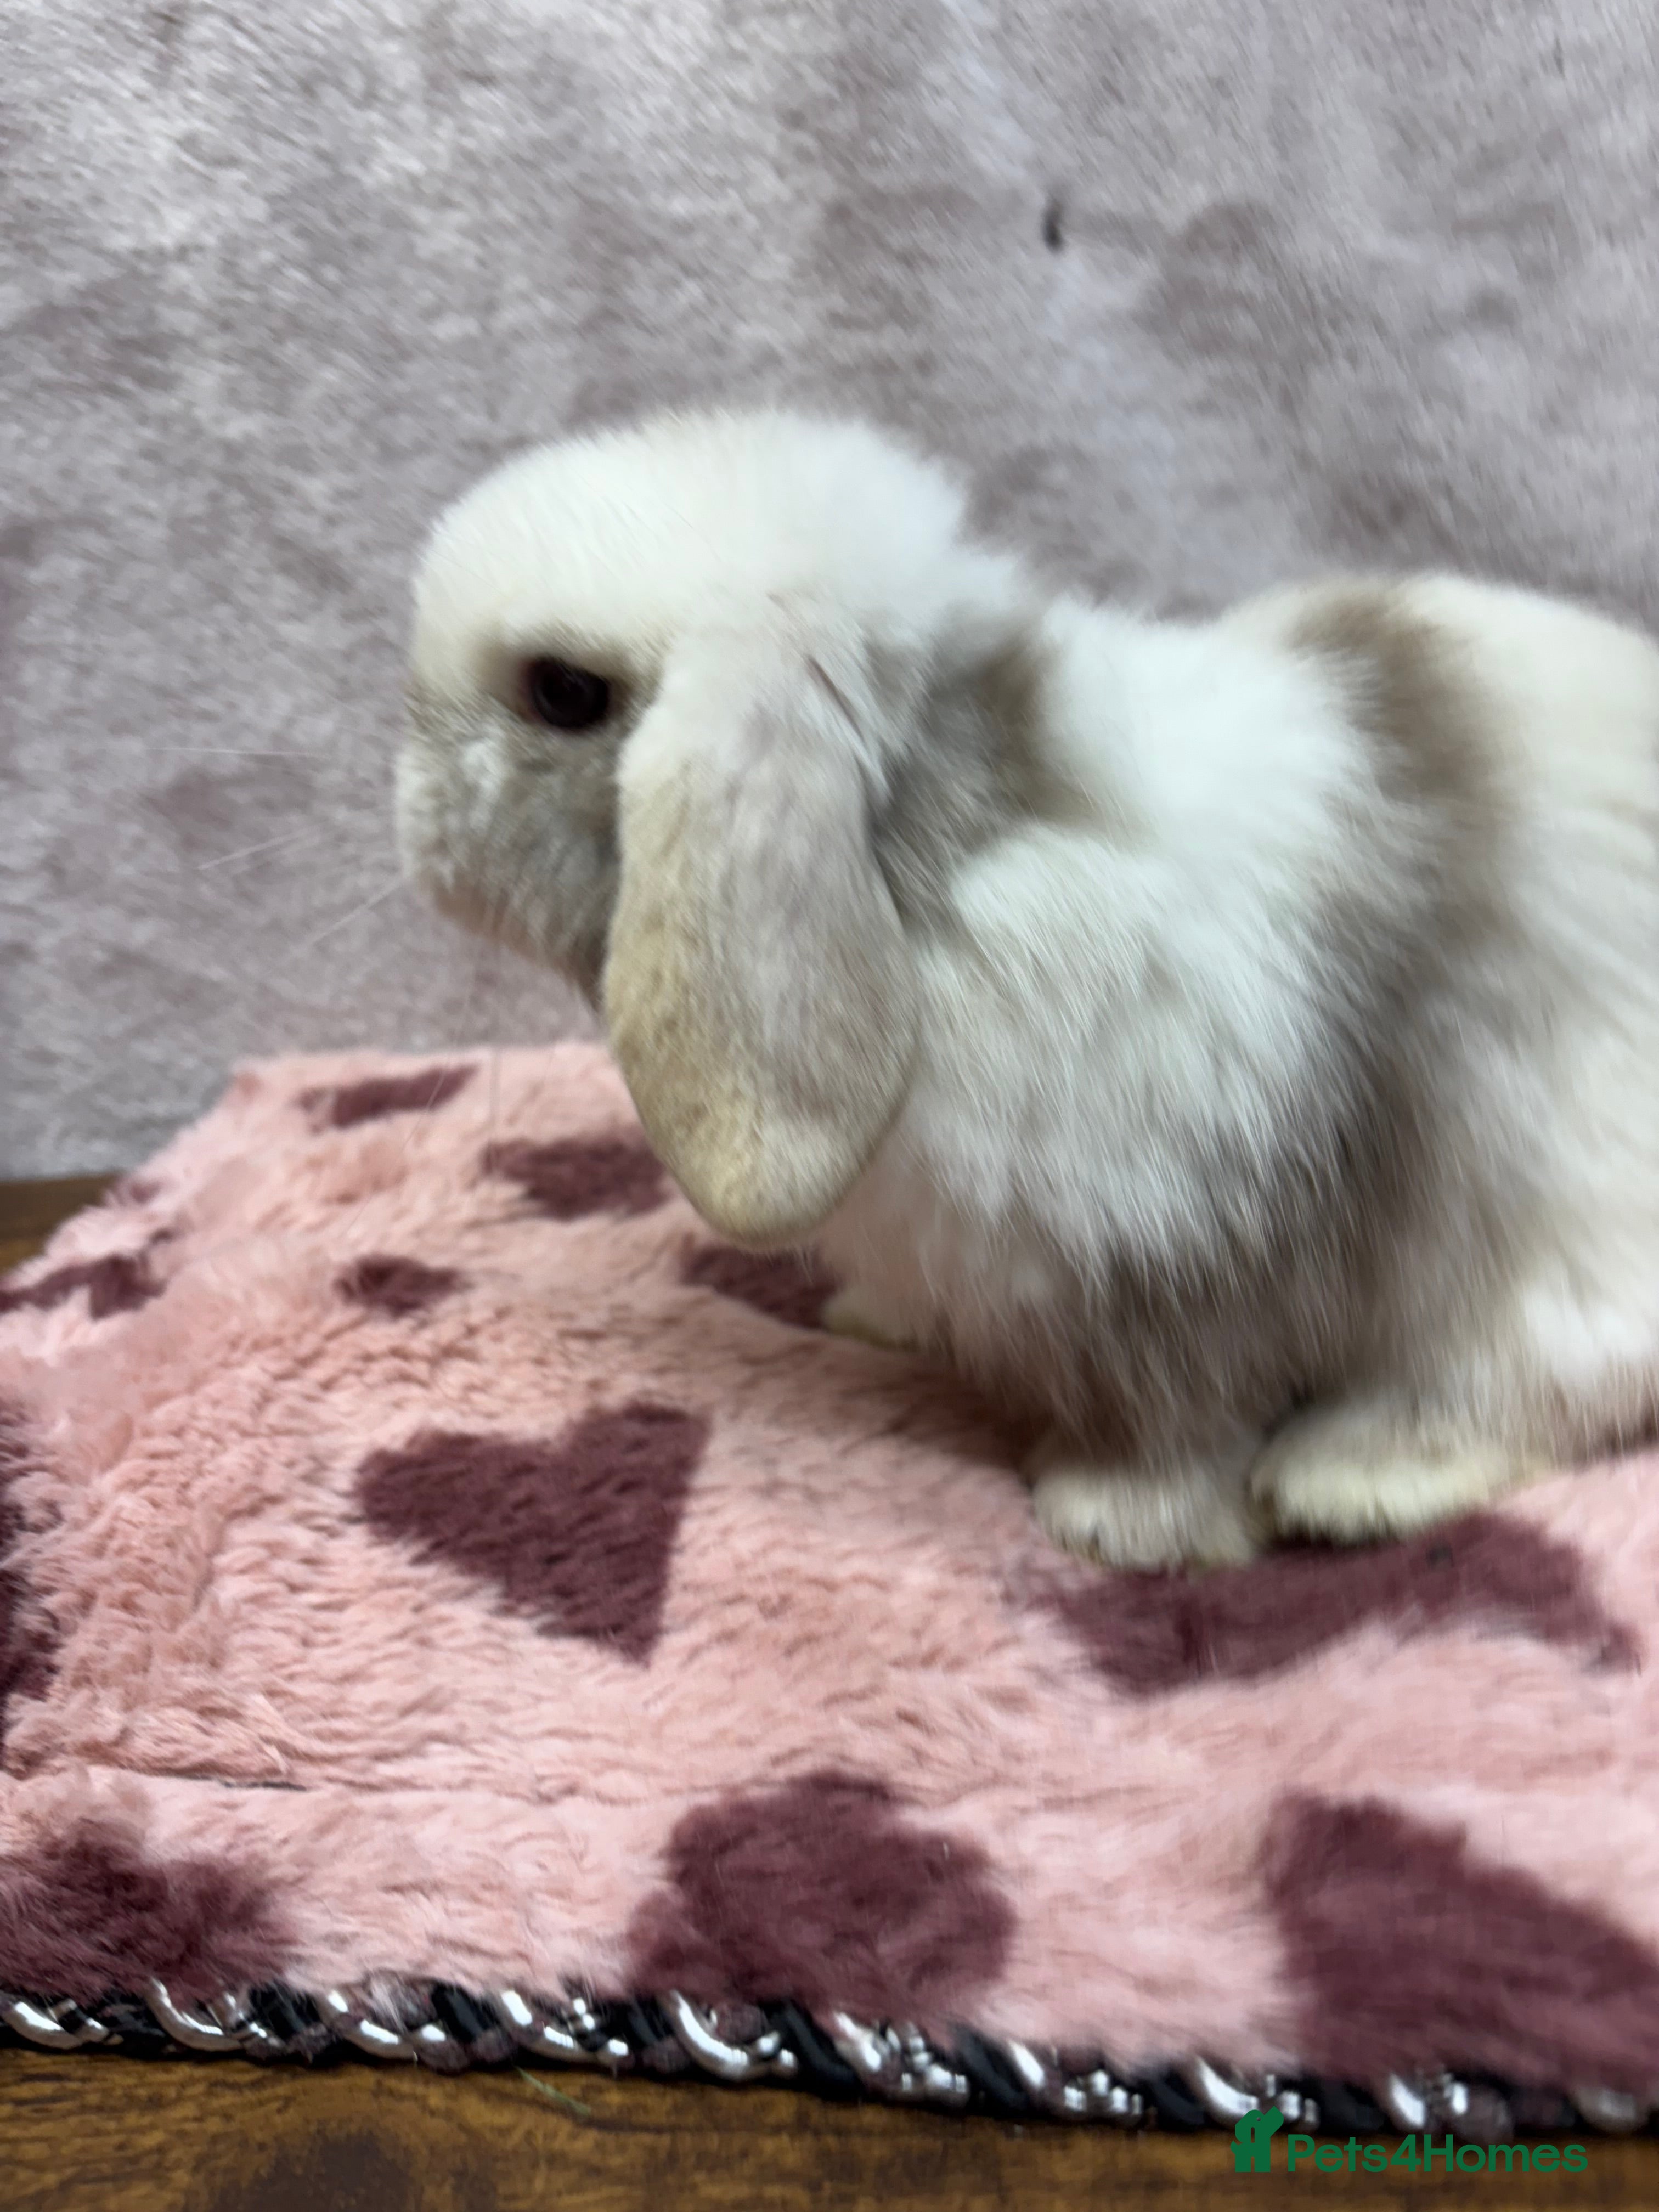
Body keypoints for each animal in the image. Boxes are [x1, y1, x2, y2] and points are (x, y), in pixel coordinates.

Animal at [396, 406, 1659, 1571]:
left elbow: (1175, 1403)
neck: (951, 868)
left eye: (564, 692)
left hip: (1548, 1247)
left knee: (1524, 1389)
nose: (411, 822)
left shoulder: (1179, 1238)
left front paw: (1116, 1523)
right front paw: (876, 1322)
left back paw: (1351, 1480)